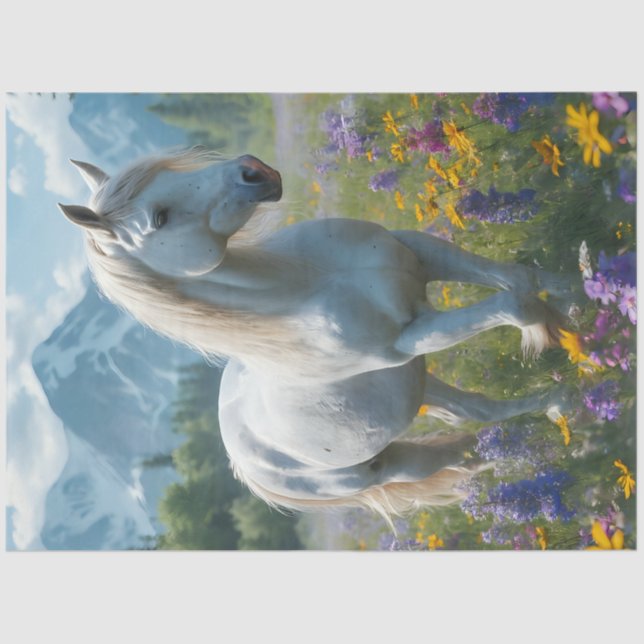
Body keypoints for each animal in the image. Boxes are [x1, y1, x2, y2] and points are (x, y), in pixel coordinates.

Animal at [58, 147, 572, 522]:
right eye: (159, 218)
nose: (253, 171)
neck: (312, 279)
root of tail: (245, 463)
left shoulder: (421, 254)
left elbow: (522, 277)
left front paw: (578, 288)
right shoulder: (410, 337)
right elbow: (515, 303)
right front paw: (556, 333)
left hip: (414, 382)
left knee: (478, 414)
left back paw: (547, 413)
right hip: (381, 457)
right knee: (457, 450)